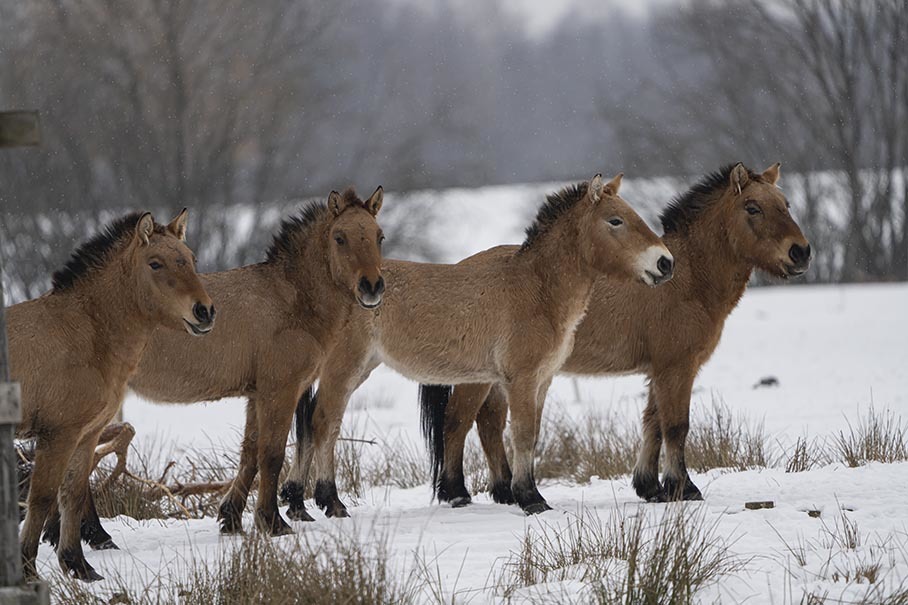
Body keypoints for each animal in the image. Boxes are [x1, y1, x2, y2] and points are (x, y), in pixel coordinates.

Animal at [11, 209, 214, 580]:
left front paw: (78, 567)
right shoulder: (57, 435)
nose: (204, 311)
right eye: (155, 263)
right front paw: (28, 571)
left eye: (191, 260)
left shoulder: (86, 434)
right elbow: (42, 498)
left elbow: (73, 494)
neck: (81, 332)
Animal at [284, 172, 672, 516]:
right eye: (616, 220)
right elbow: (523, 435)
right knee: (324, 422)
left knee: (310, 424)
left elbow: (530, 435)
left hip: (358, 368)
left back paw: (296, 501)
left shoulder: (542, 380)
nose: (665, 262)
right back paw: (330, 501)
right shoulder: (521, 380)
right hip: (344, 368)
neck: (536, 290)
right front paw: (530, 498)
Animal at [416, 163, 808, 508]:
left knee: (489, 425)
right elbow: (676, 426)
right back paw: (458, 493)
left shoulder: (660, 371)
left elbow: (653, 424)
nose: (800, 252)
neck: (686, 279)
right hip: (479, 378)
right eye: (752, 207)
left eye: (786, 204)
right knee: (458, 422)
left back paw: (504, 490)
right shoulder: (676, 368)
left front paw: (651, 487)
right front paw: (683, 487)